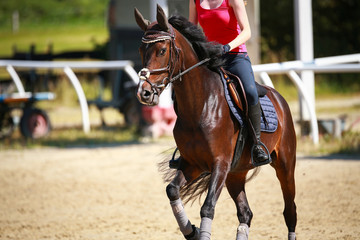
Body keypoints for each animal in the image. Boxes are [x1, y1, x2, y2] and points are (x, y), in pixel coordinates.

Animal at [134, 5, 296, 240]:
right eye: (141, 50)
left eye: (162, 51)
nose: (144, 93)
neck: (200, 105)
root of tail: (280, 99)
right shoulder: (192, 164)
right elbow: (172, 190)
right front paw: (191, 231)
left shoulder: (220, 163)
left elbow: (208, 207)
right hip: (236, 173)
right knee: (245, 213)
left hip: (285, 165)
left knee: (290, 211)